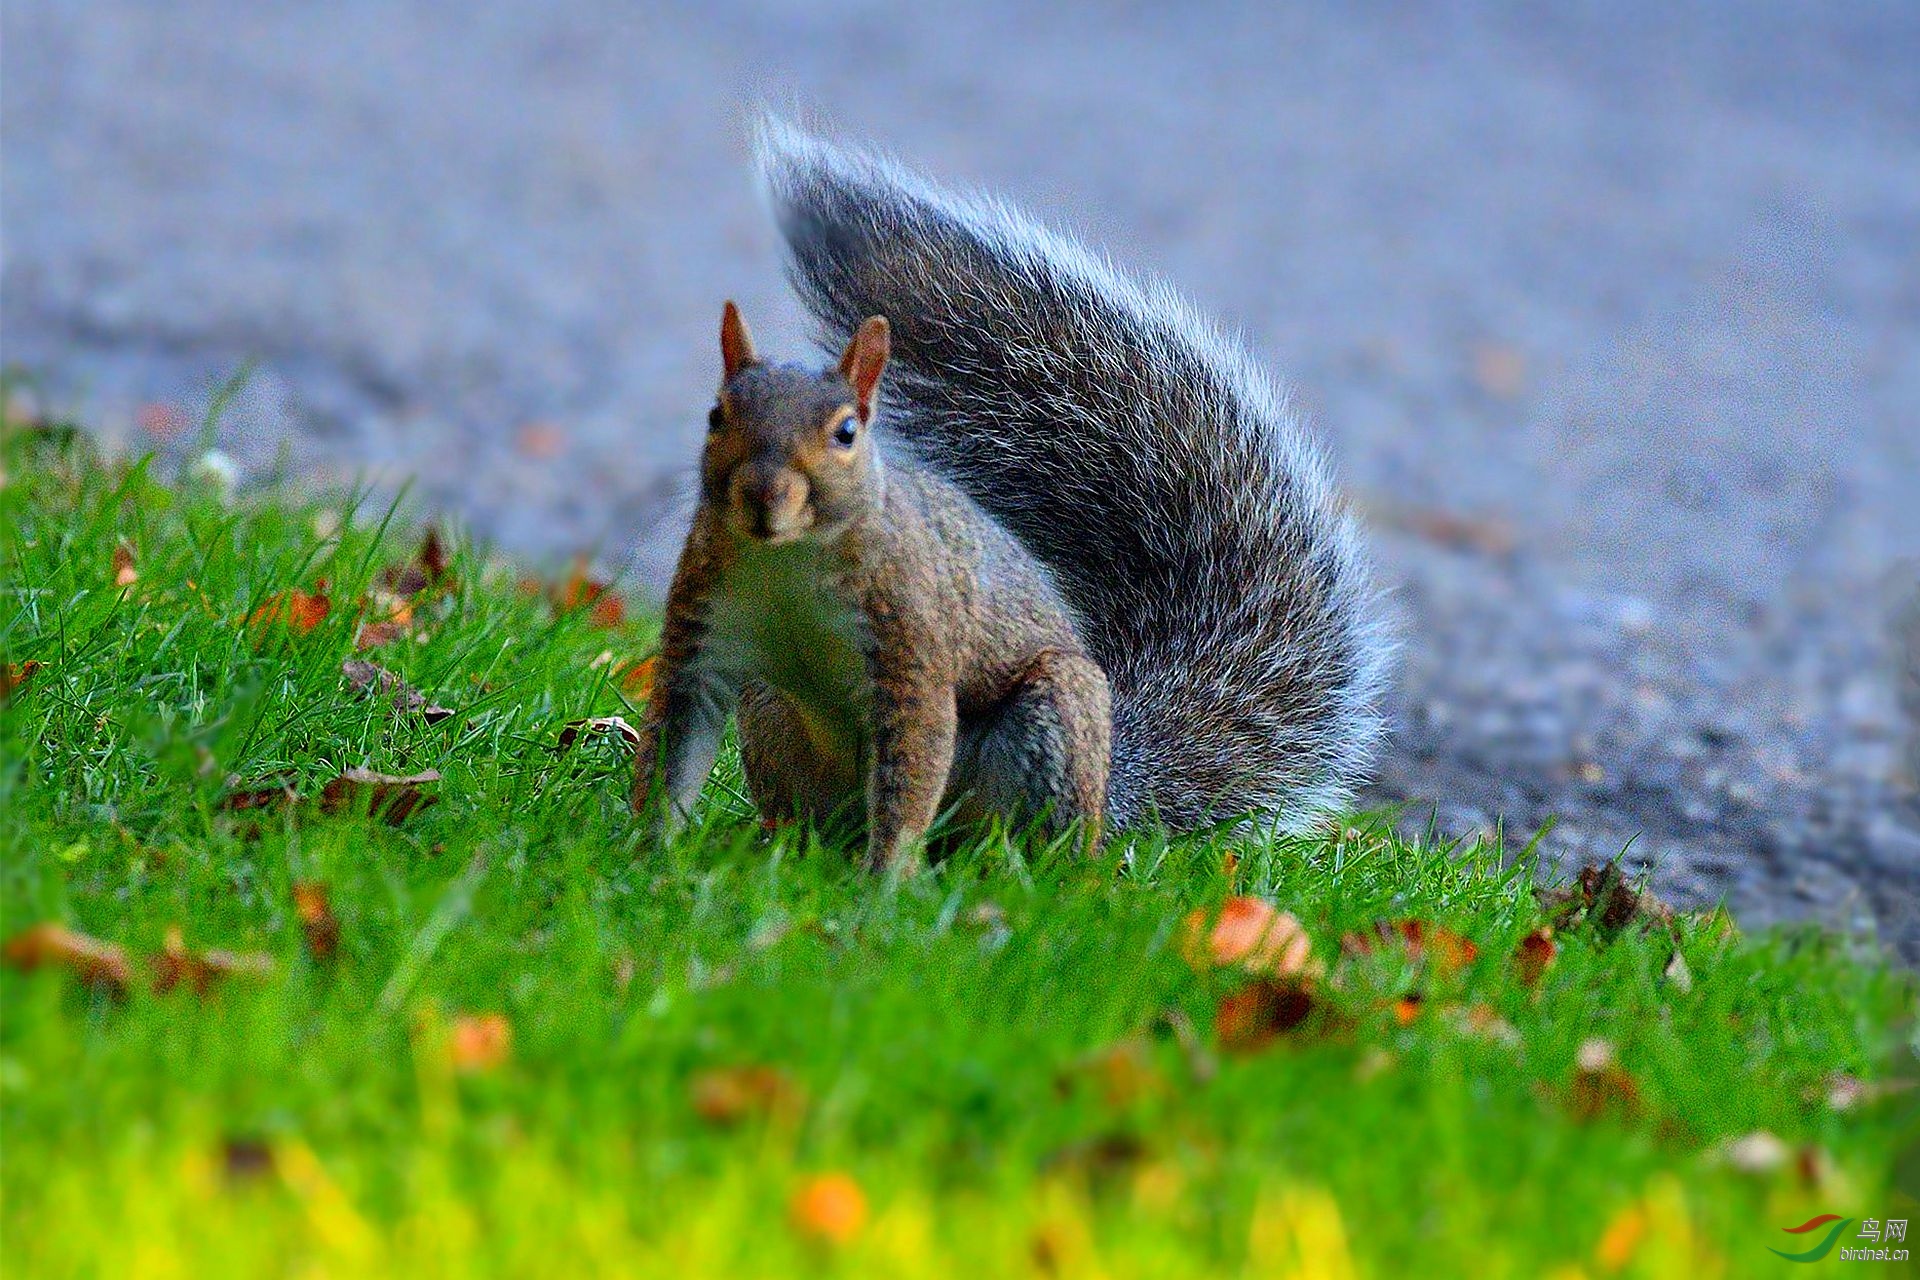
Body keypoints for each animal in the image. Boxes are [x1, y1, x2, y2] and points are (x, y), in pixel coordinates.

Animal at [637, 117, 1390, 871]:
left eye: (848, 432)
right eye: (716, 415)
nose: (764, 495)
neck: (788, 564)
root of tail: (1112, 786)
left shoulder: (914, 647)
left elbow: (914, 763)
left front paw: (886, 882)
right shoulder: (704, 631)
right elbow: (674, 743)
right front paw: (646, 854)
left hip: (1051, 716)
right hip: (770, 710)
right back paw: (789, 849)